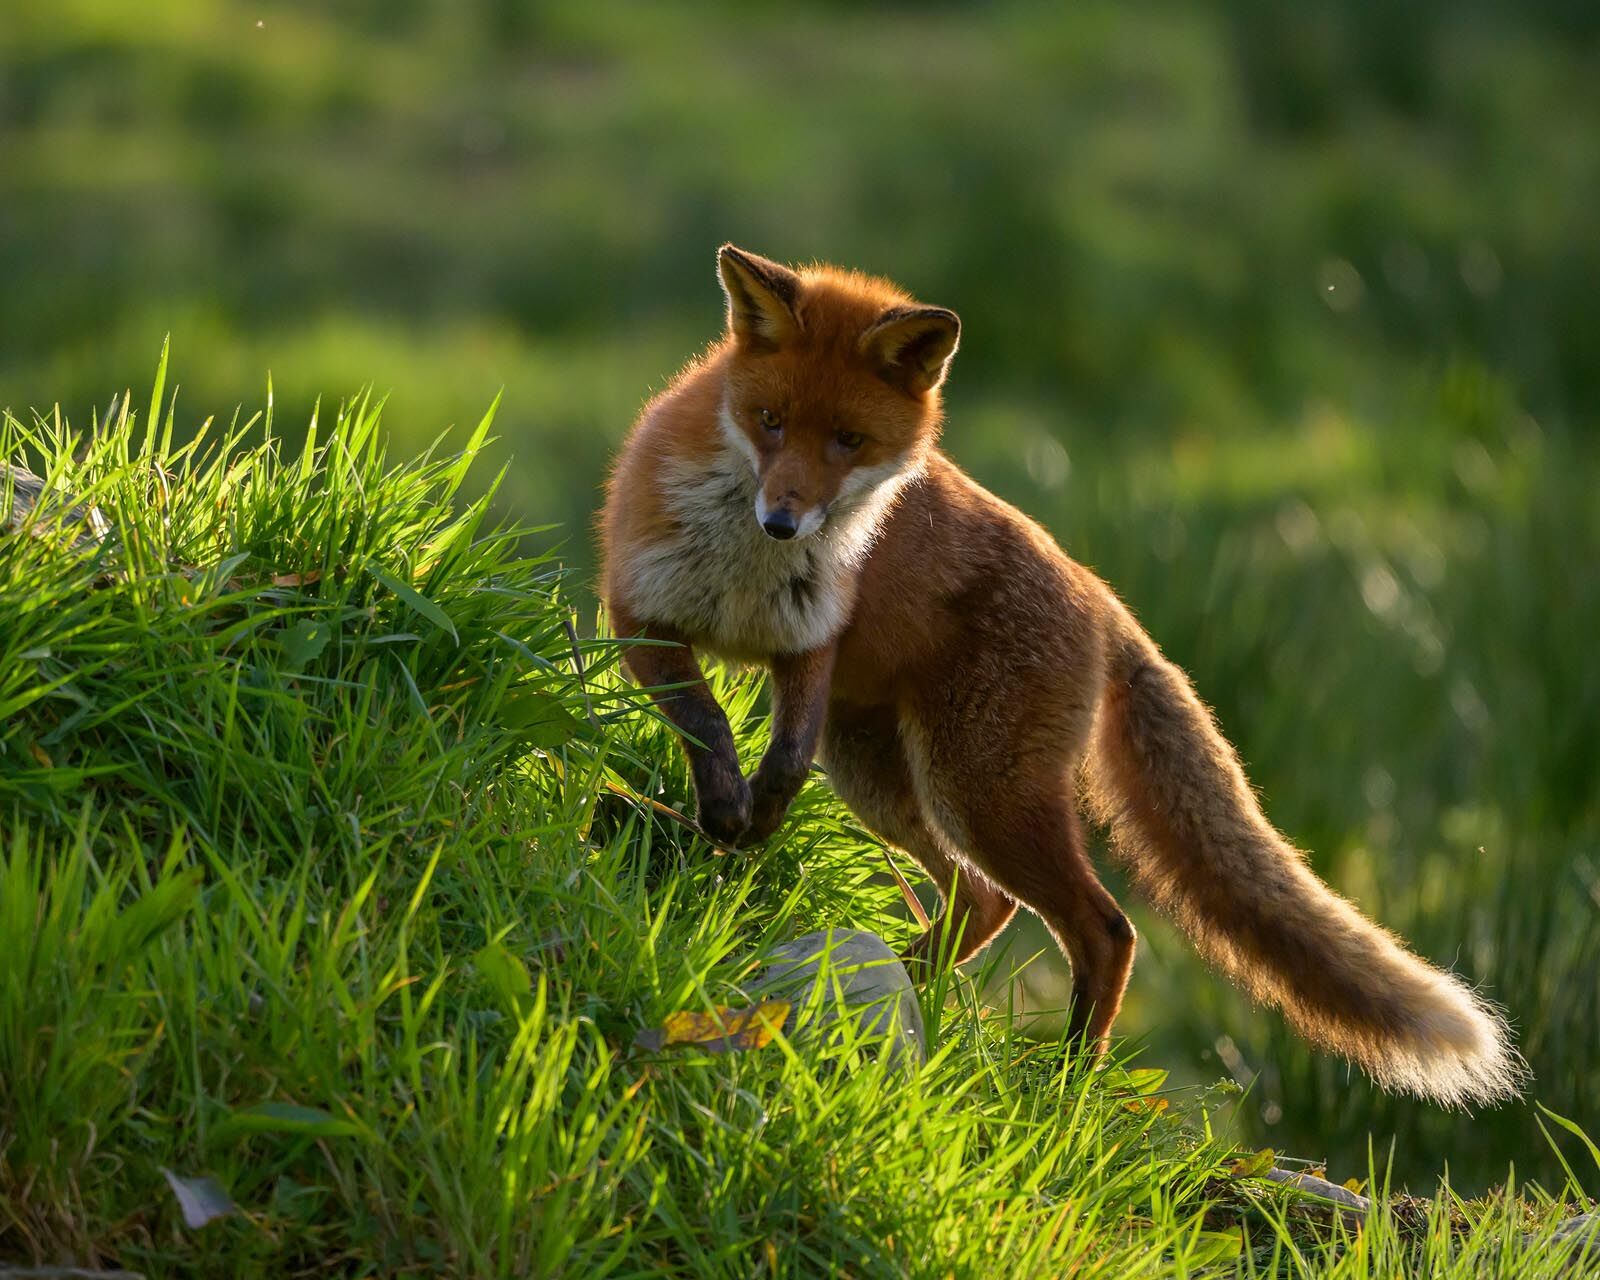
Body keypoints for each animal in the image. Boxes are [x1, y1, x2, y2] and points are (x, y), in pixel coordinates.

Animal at [598, 244, 1525, 1107]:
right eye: (770, 420)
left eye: (848, 442)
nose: (784, 522)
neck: (747, 577)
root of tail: (1103, 599)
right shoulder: (642, 616)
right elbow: (709, 722)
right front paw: (729, 814)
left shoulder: (811, 644)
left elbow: (773, 757)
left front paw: (736, 819)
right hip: (882, 771)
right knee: (984, 902)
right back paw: (903, 991)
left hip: (976, 790)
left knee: (1100, 926)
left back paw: (1064, 1083)